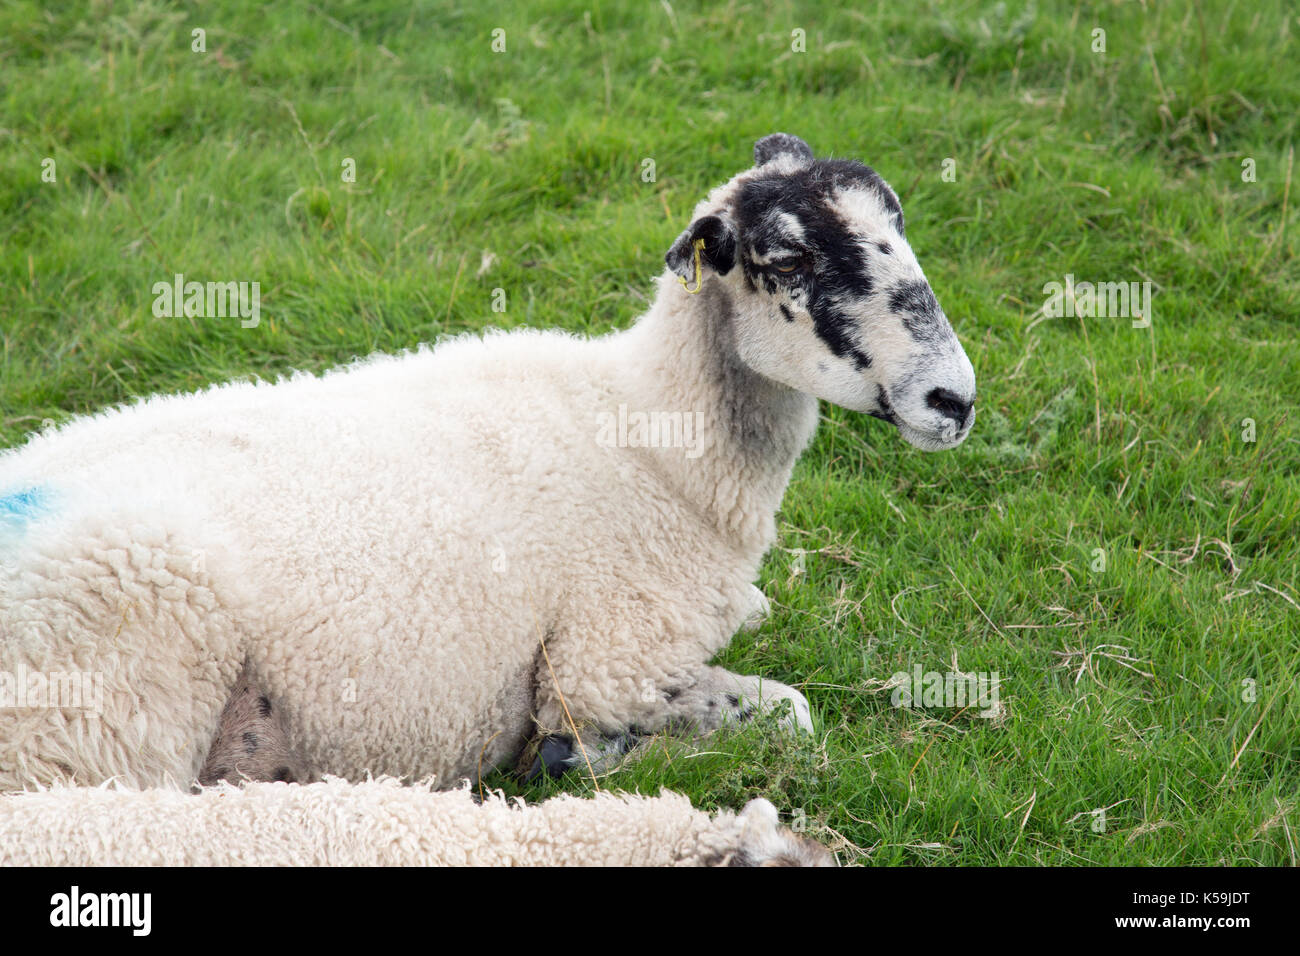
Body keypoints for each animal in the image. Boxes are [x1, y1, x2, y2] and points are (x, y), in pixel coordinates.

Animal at [2, 132, 977, 790]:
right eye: (787, 256)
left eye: (900, 224)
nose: (954, 400)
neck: (653, 438)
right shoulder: (604, 663)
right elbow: (789, 713)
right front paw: (571, 754)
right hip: (101, 705)